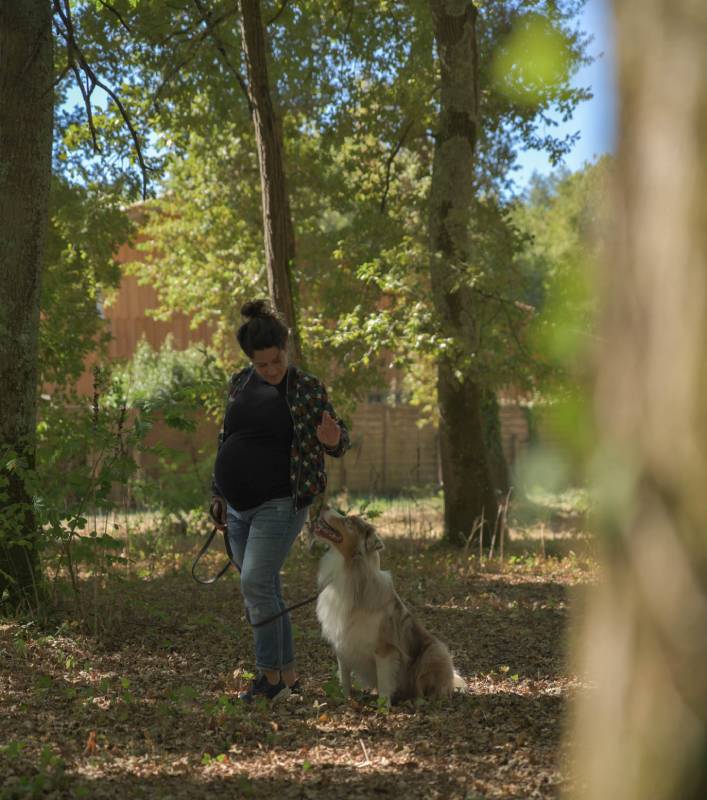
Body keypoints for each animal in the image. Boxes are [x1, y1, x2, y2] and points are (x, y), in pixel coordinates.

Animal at [316, 510, 464, 704]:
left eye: (348, 521)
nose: (323, 509)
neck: (350, 573)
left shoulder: (385, 649)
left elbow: (385, 681)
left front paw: (383, 706)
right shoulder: (341, 643)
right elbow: (345, 678)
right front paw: (346, 699)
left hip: (435, 651)